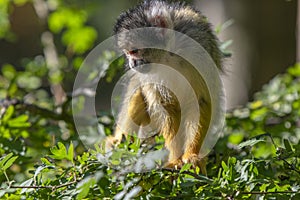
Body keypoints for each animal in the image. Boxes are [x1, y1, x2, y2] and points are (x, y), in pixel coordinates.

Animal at [106, 0, 221, 173]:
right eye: (127, 53)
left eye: (134, 51)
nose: (132, 63)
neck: (169, 54)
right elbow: (167, 106)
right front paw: (175, 159)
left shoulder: (197, 50)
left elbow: (201, 101)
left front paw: (192, 155)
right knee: (139, 89)